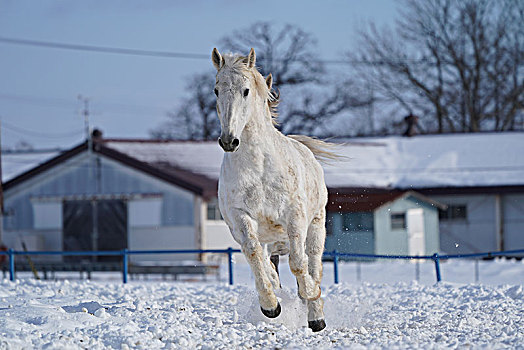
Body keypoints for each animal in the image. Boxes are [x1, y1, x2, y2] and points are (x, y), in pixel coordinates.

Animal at [212, 47, 338, 332]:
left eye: (246, 90)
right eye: (216, 90)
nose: (228, 141)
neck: (259, 168)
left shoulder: (294, 218)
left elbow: (299, 264)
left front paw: (311, 300)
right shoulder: (242, 218)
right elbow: (254, 256)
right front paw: (270, 306)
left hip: (316, 226)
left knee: (313, 264)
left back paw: (314, 312)